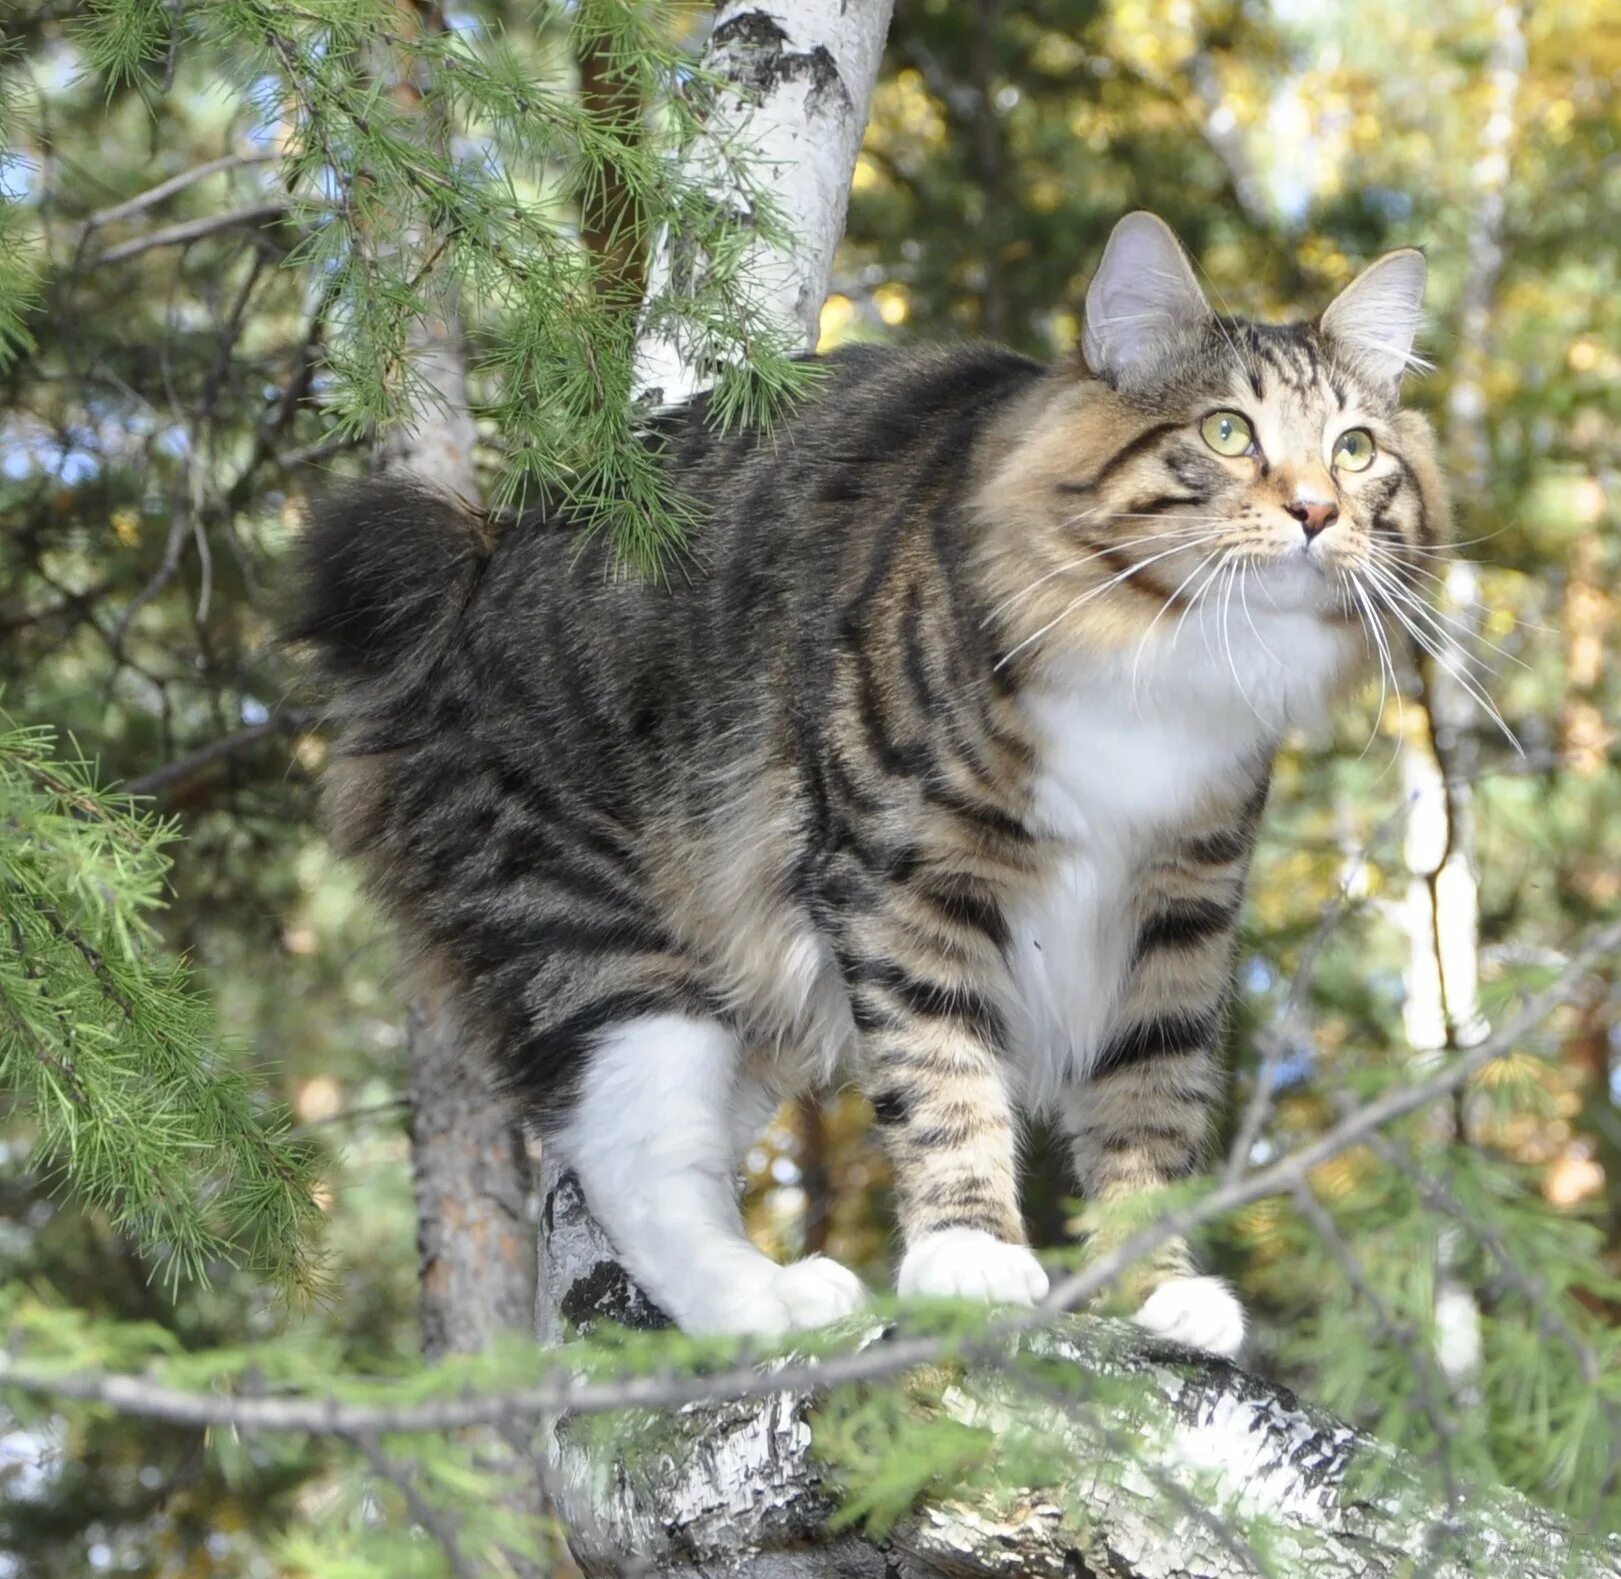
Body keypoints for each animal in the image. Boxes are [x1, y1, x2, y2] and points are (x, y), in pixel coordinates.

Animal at [295, 210, 1445, 1361]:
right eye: (1226, 433)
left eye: (1354, 448)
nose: (1315, 510)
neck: (1167, 656)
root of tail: (479, 557)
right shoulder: (906, 871)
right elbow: (944, 1075)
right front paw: (969, 1253)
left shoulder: (1179, 908)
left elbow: (1147, 1105)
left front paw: (1151, 1284)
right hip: (598, 928)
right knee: (637, 1156)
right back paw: (764, 1304)